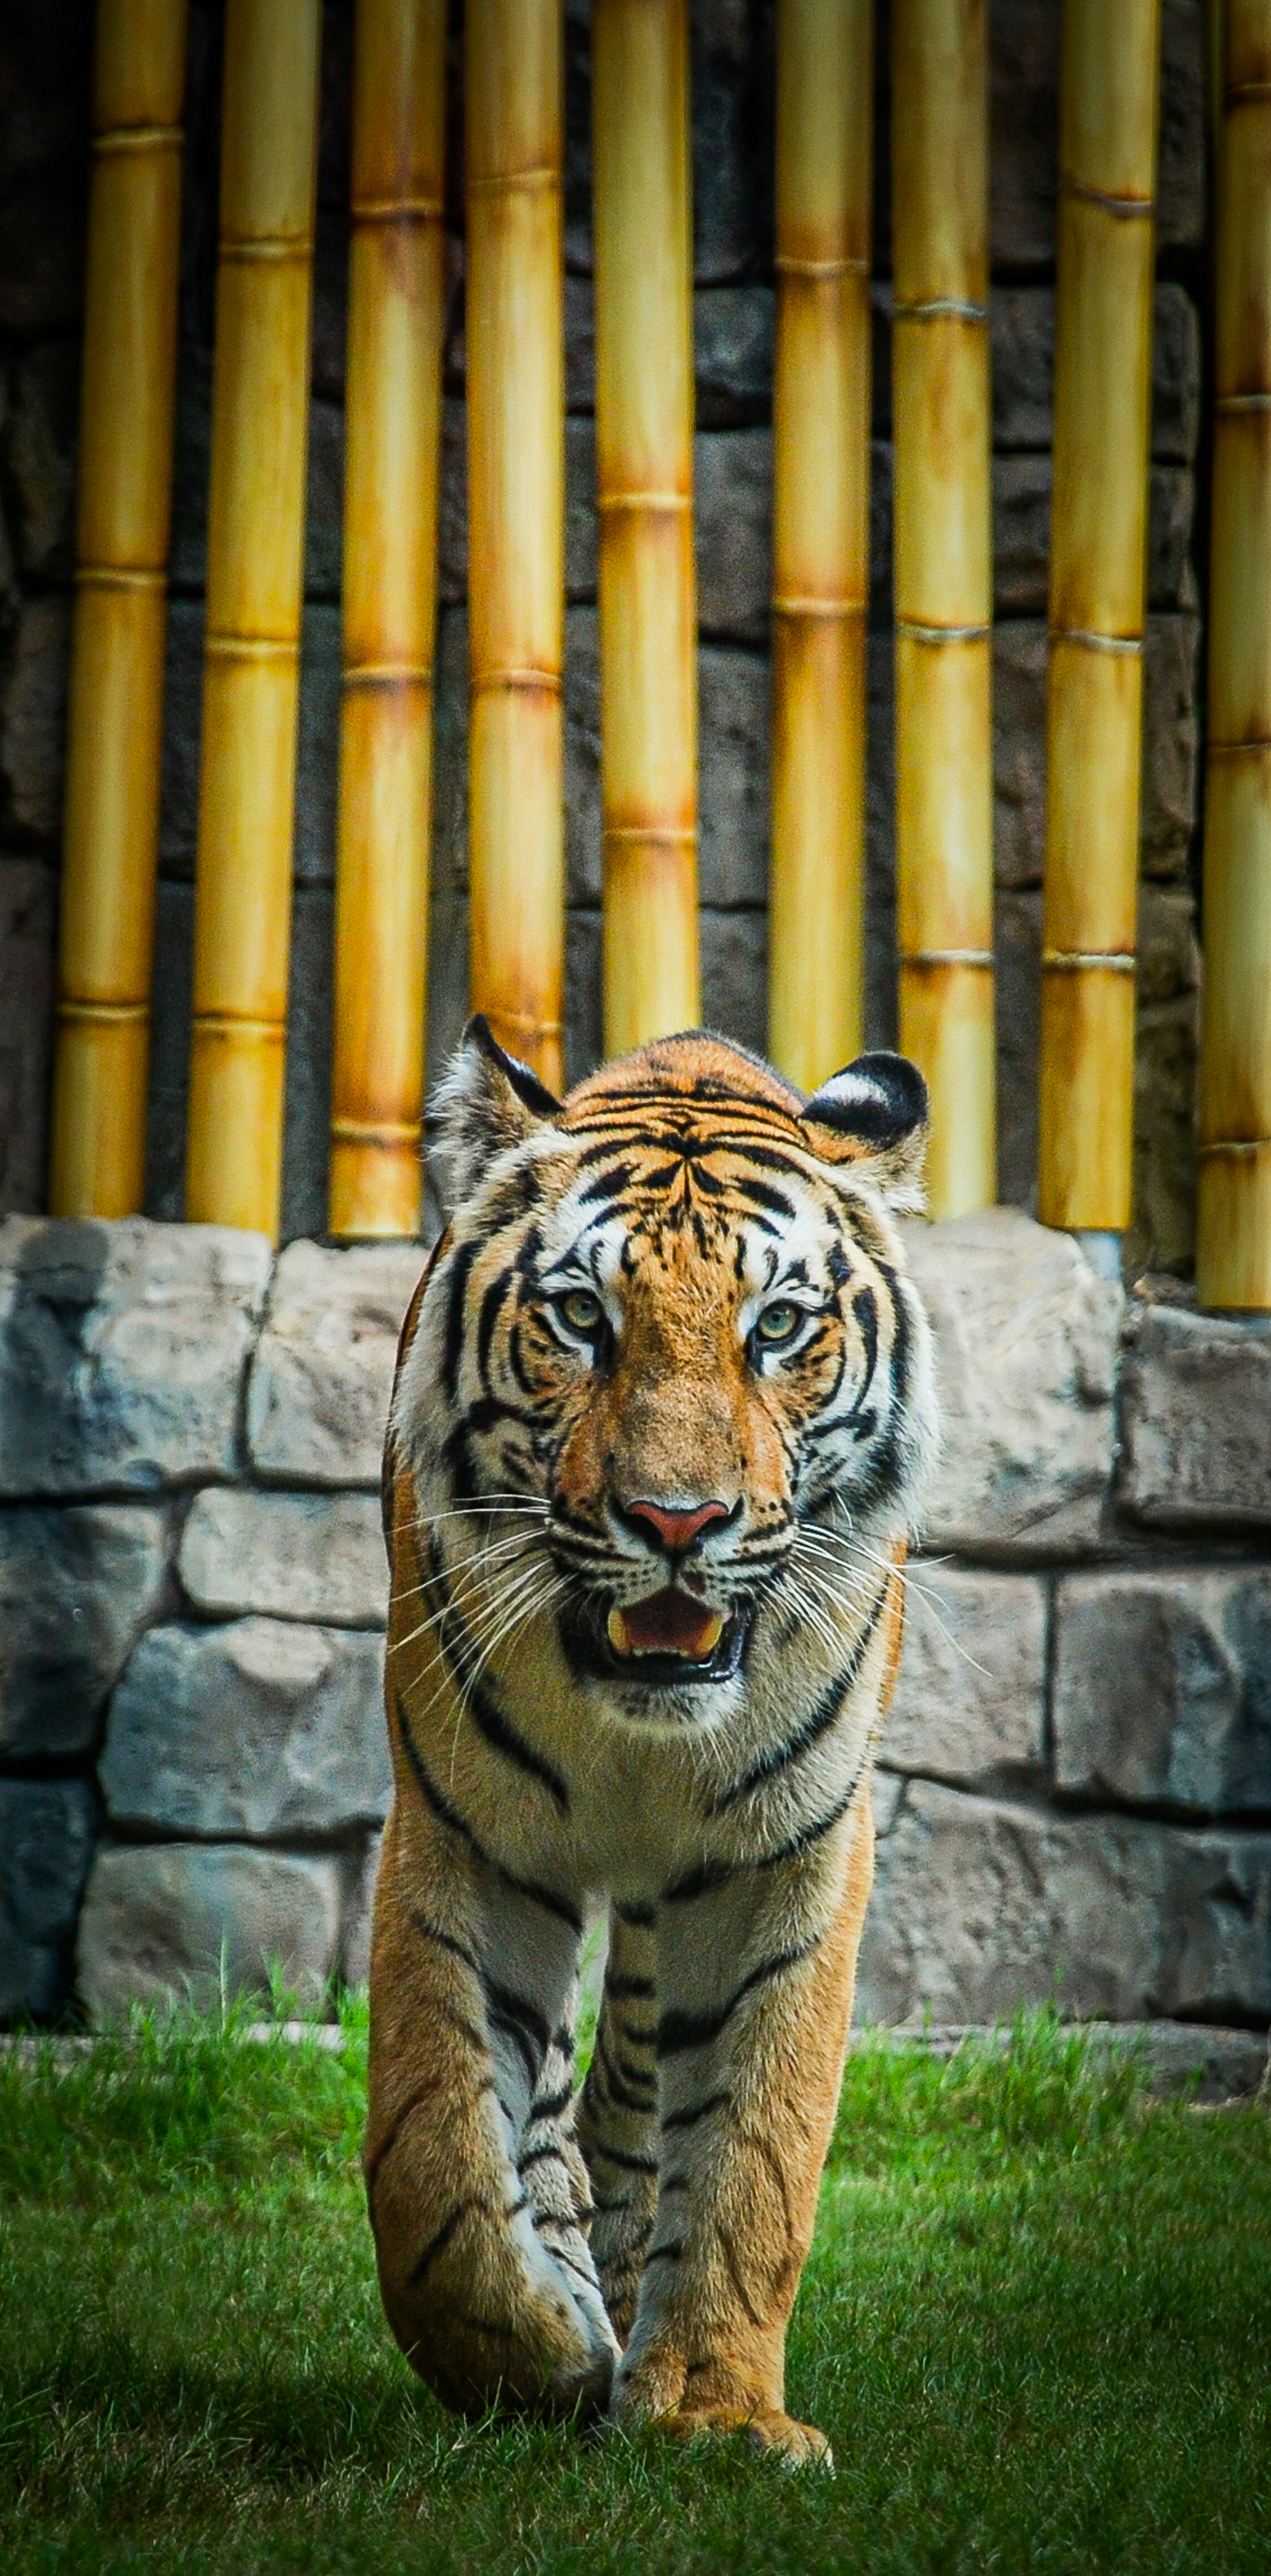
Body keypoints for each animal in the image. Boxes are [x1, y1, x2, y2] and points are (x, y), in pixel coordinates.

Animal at [365, 1016, 937, 2467]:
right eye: (582, 1316)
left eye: (775, 1325)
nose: (678, 1521)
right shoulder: (463, 1834)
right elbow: (435, 2143)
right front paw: (528, 2351)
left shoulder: (787, 1851)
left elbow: (753, 2147)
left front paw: (716, 2411)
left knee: (628, 2085)